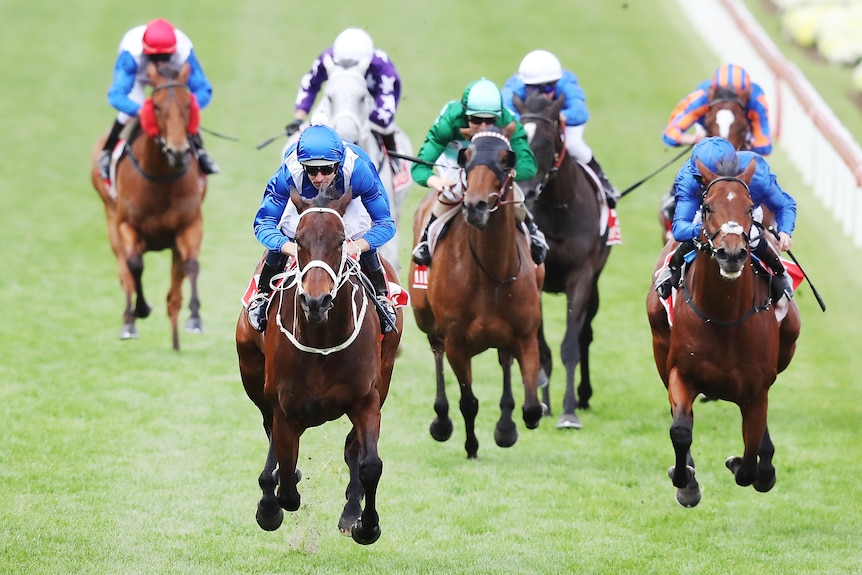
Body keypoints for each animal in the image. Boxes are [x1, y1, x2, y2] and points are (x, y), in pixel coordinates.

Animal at [90, 62, 208, 352]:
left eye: (188, 103)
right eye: (155, 106)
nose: (178, 151)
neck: (160, 179)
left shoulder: (190, 225)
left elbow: (191, 265)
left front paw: (195, 318)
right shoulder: (126, 225)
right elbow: (135, 266)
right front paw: (141, 309)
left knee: (175, 288)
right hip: (111, 221)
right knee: (124, 272)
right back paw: (129, 322)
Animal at [236, 189, 404, 544]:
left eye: (340, 241)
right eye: (298, 241)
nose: (316, 301)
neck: (322, 340)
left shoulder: (366, 400)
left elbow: (370, 464)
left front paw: (366, 525)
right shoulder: (284, 409)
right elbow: (287, 481)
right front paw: (270, 507)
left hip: (384, 375)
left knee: (352, 447)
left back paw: (351, 511)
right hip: (252, 373)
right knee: (269, 431)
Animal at [412, 125, 548, 460]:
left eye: (505, 158)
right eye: (467, 157)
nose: (474, 206)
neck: (490, 272)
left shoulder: (526, 334)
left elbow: (530, 407)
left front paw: (508, 428)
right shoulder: (457, 343)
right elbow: (468, 401)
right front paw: (471, 446)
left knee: (505, 361)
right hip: (427, 321)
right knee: (436, 352)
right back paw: (442, 421)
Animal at [648, 155, 804, 506]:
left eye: (749, 207)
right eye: (707, 207)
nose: (731, 253)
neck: (724, 318)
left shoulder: (757, 389)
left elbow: (749, 459)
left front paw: (750, 467)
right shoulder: (681, 373)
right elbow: (680, 430)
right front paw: (686, 482)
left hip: (788, 341)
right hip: (659, 343)